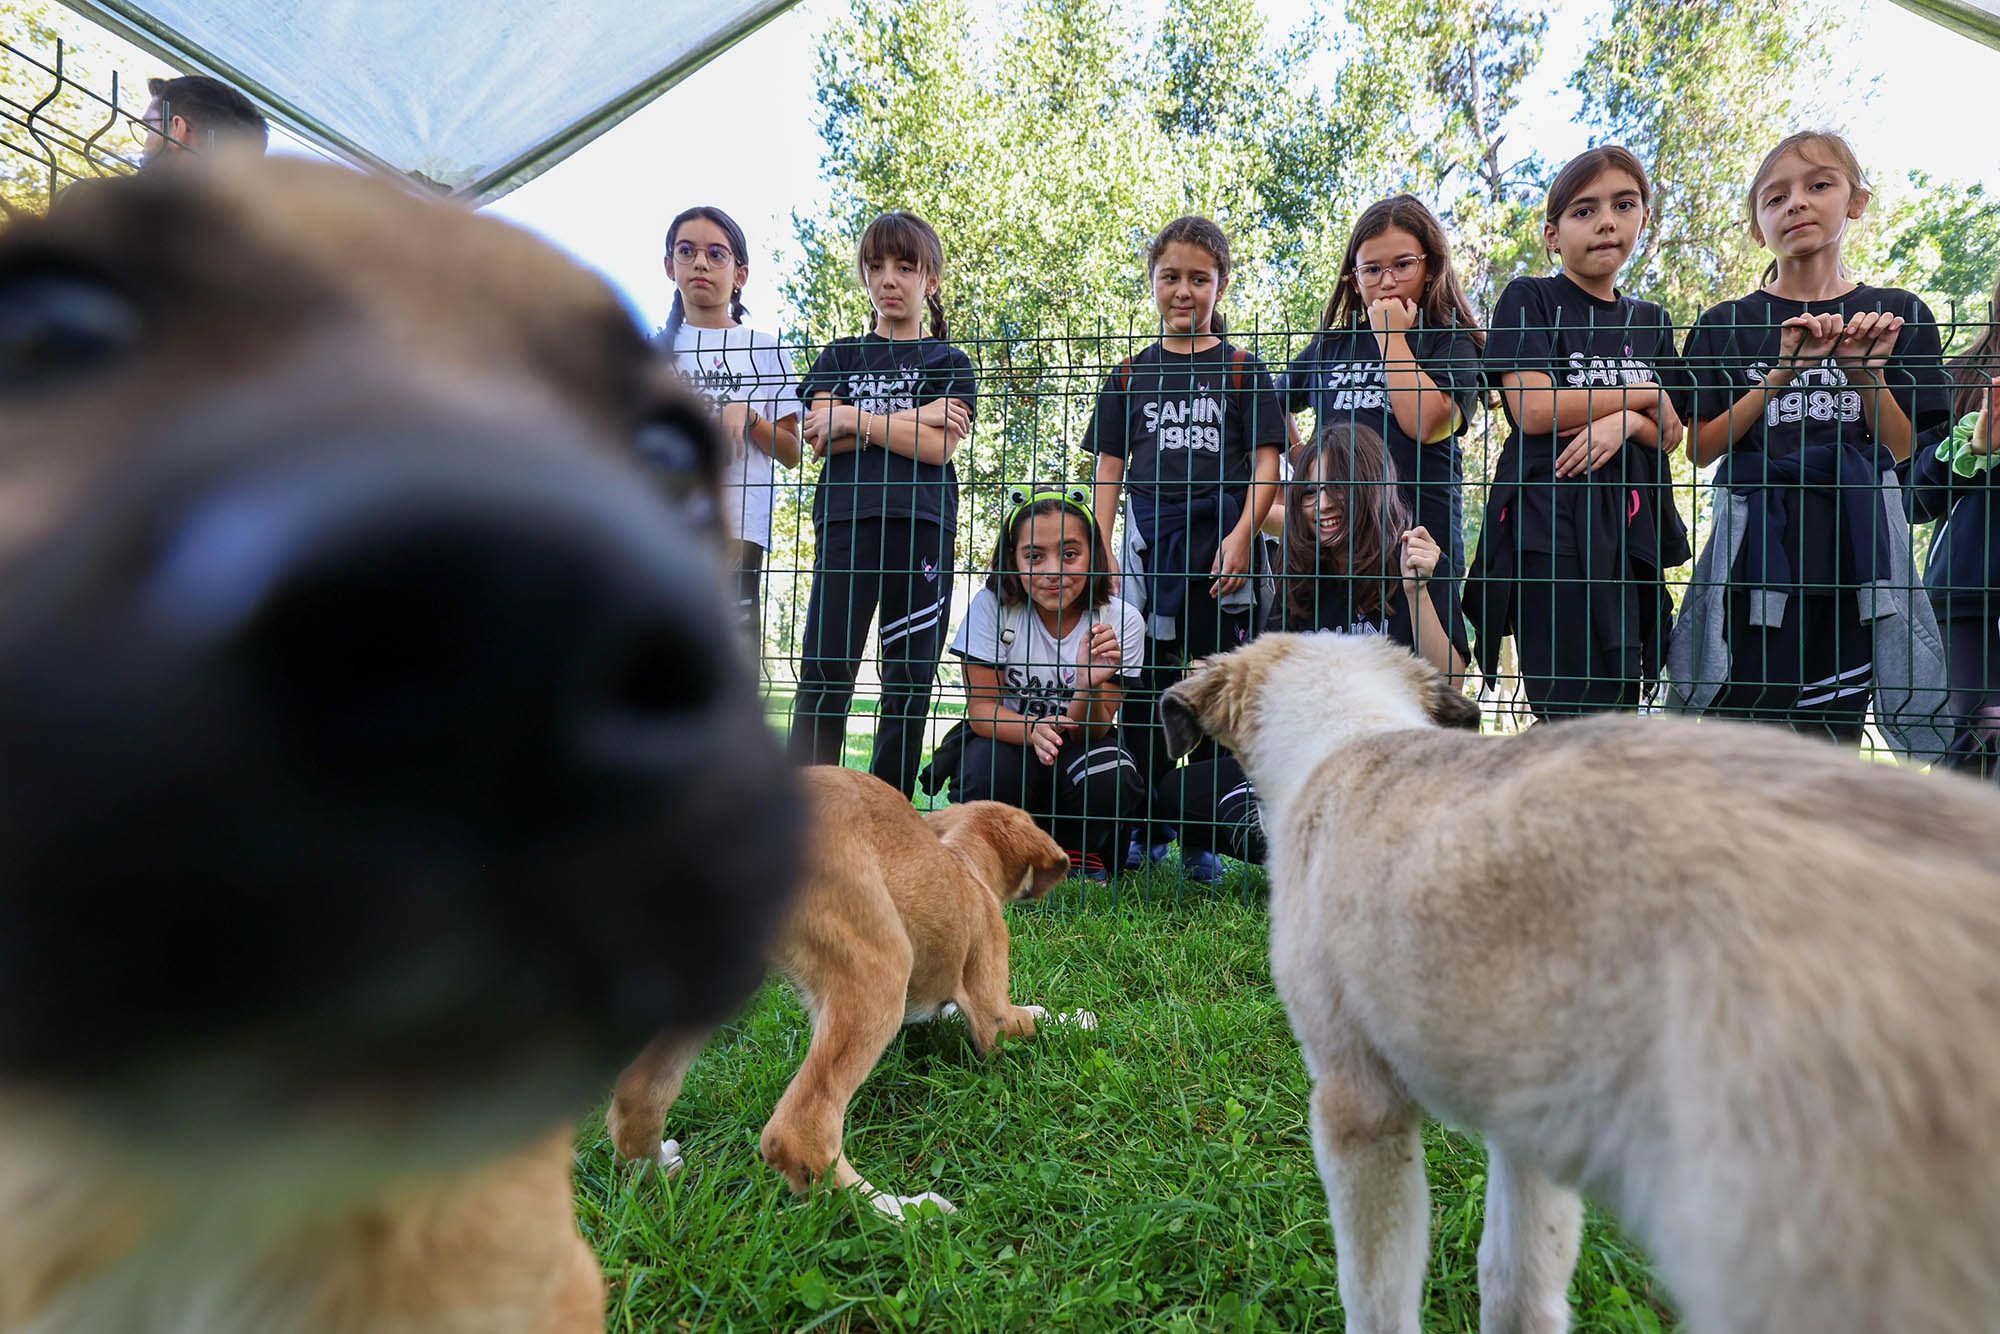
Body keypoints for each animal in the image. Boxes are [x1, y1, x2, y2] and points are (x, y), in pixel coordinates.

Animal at [608, 772, 1096, 1224]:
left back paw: (656, 1171)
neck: (966, 865)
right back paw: (903, 1213)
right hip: (879, 968)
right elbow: (1032, 1016)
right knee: (799, 1132)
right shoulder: (993, 1014)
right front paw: (1080, 1017)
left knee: (640, 1091)